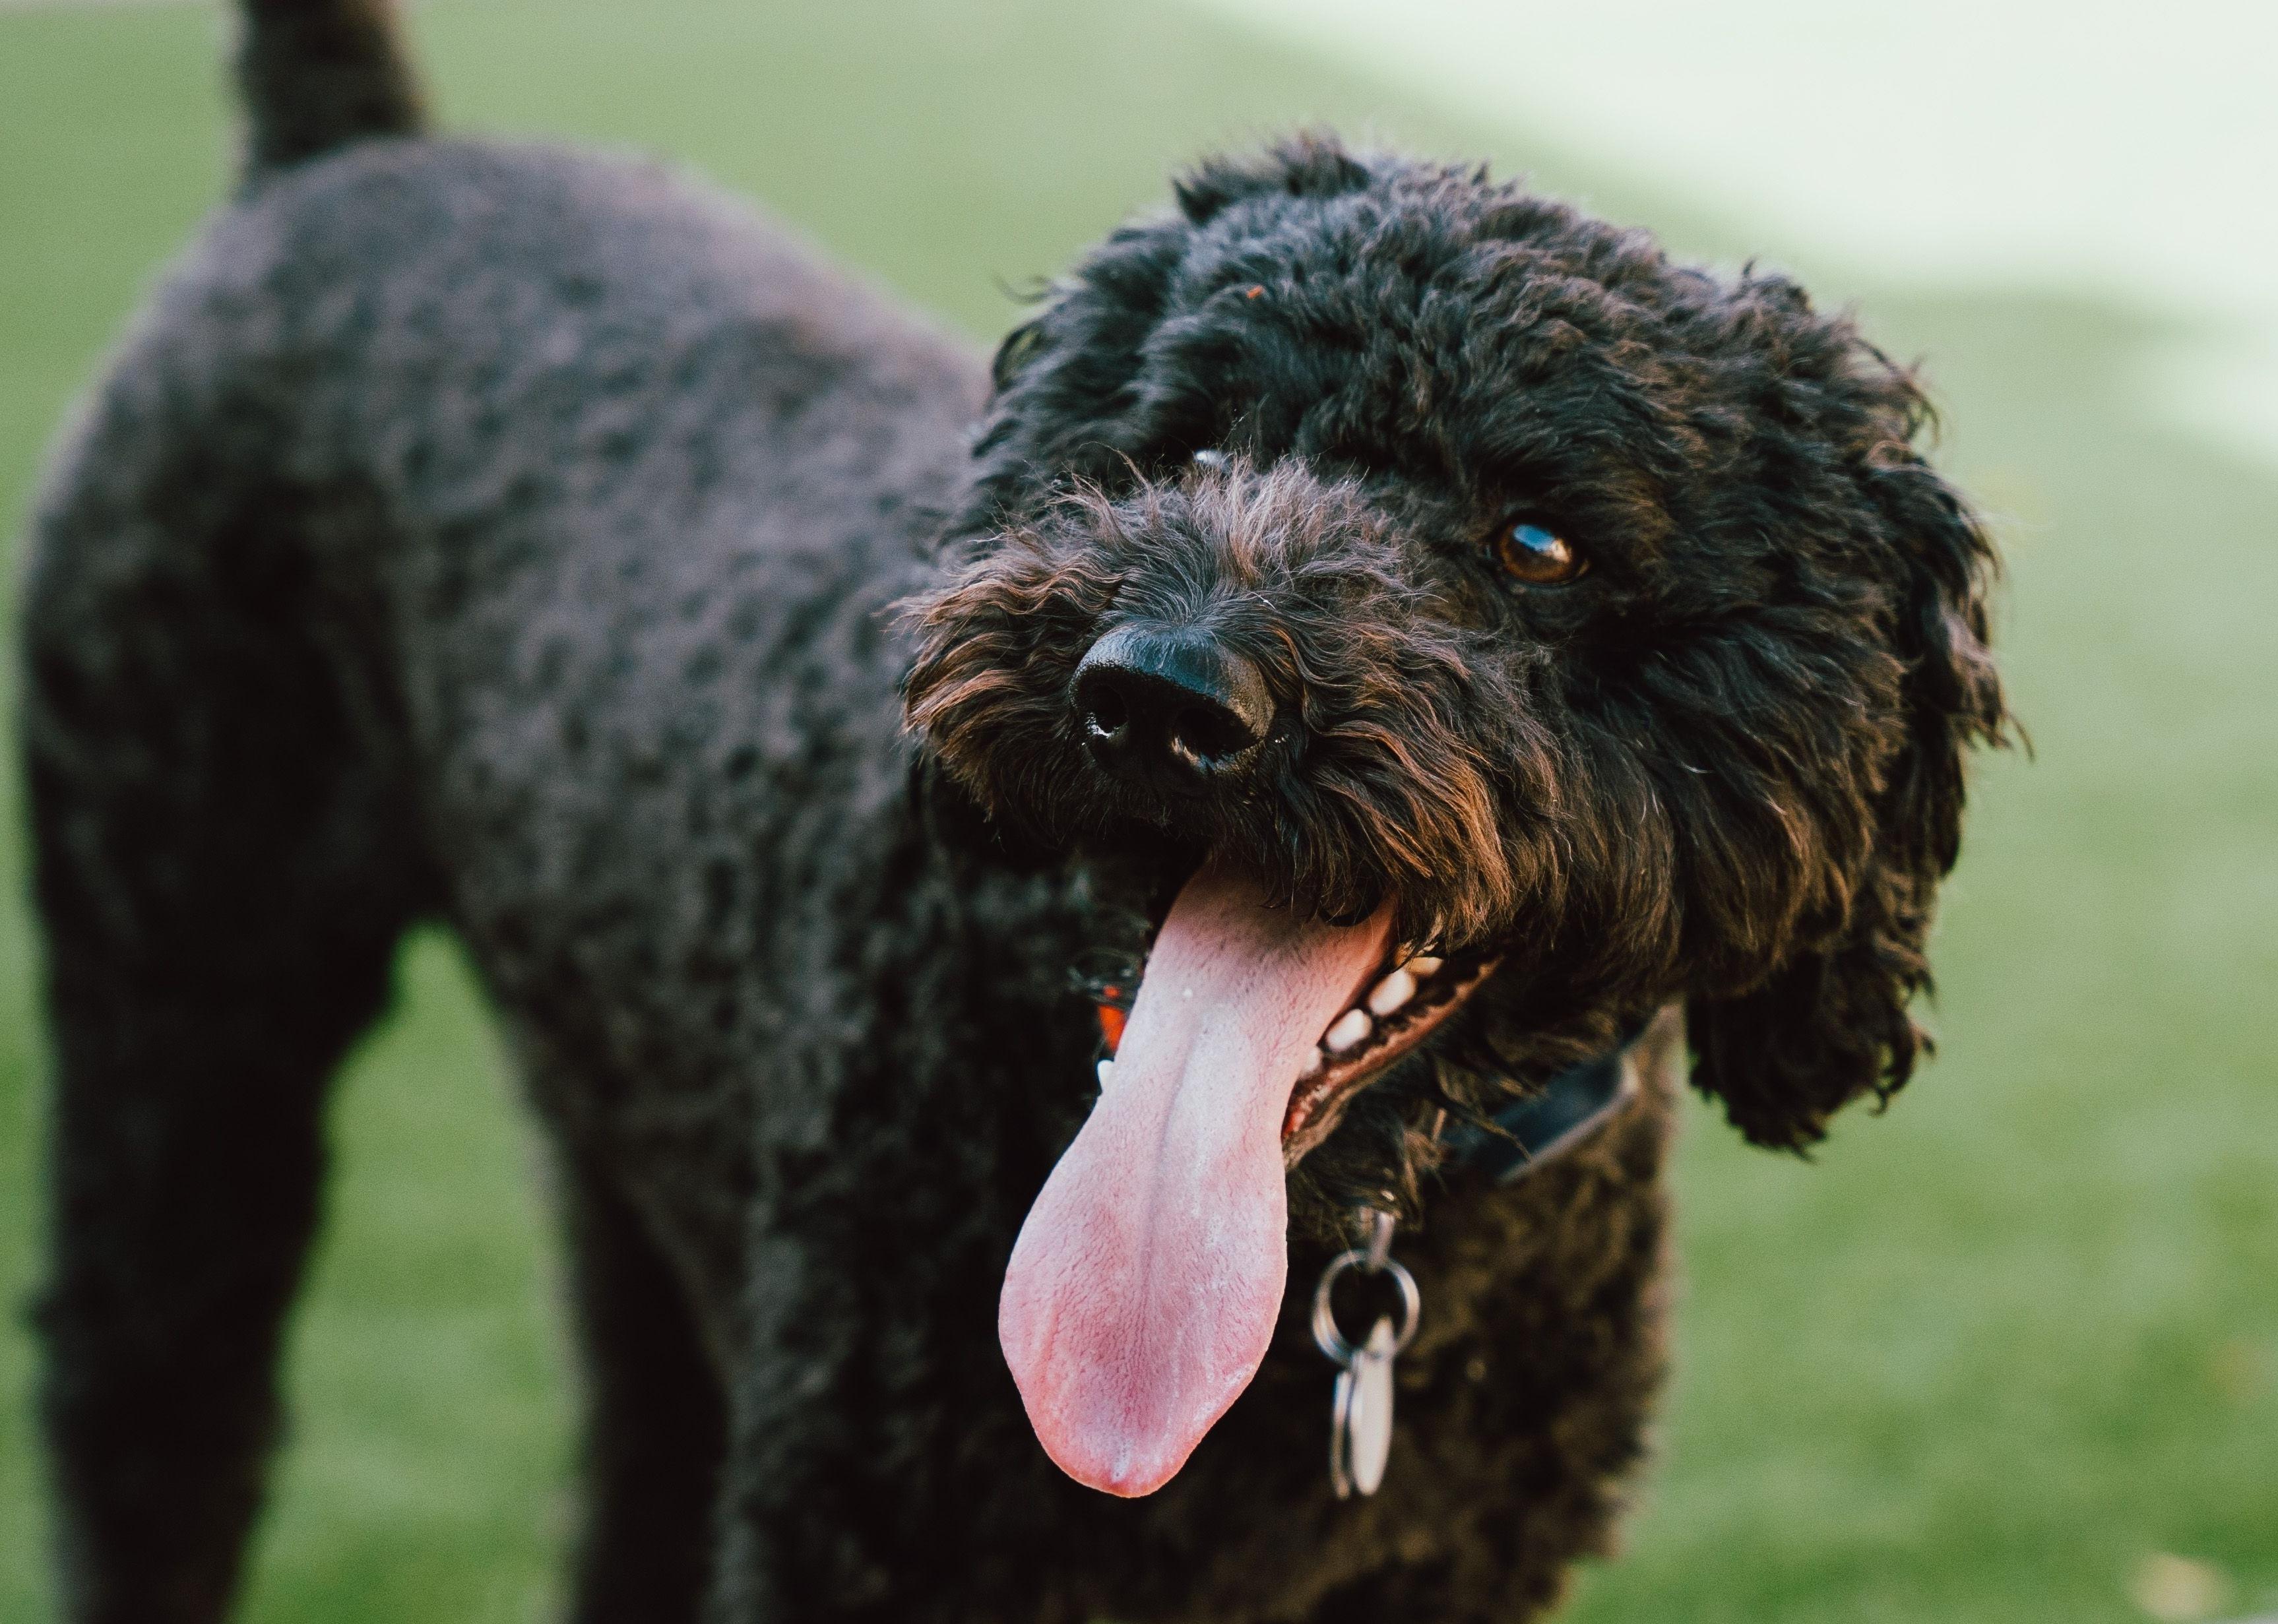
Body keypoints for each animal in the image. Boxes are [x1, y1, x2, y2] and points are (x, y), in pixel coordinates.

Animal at [26, 6, 2004, 1612]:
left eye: (1534, 541)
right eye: (1188, 444)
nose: (1161, 693)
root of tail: (351, 152)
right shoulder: (873, 1538)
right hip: (176, 1018)